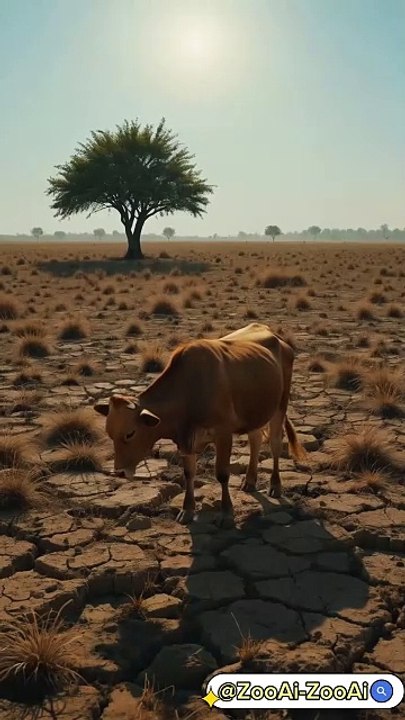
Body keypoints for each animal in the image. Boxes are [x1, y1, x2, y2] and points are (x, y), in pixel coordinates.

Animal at [94, 323, 305, 524]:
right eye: (110, 433)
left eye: (130, 433)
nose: (119, 472)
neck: (189, 392)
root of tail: (275, 335)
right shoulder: (186, 440)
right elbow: (189, 473)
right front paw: (187, 510)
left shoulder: (223, 433)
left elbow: (222, 474)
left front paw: (226, 513)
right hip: (256, 412)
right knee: (255, 440)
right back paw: (250, 481)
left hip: (279, 406)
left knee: (275, 444)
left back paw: (275, 485)